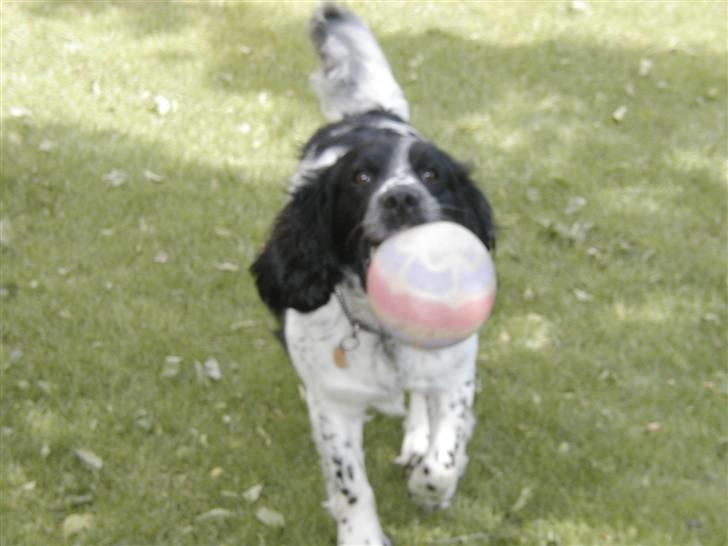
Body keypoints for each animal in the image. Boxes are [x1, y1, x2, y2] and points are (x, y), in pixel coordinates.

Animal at [250, 5, 494, 544]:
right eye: (361, 178)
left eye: (432, 175)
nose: (401, 198)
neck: (382, 329)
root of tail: (368, 114)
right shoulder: (331, 404)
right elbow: (350, 484)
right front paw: (361, 533)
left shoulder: (456, 373)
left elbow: (446, 455)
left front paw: (431, 485)